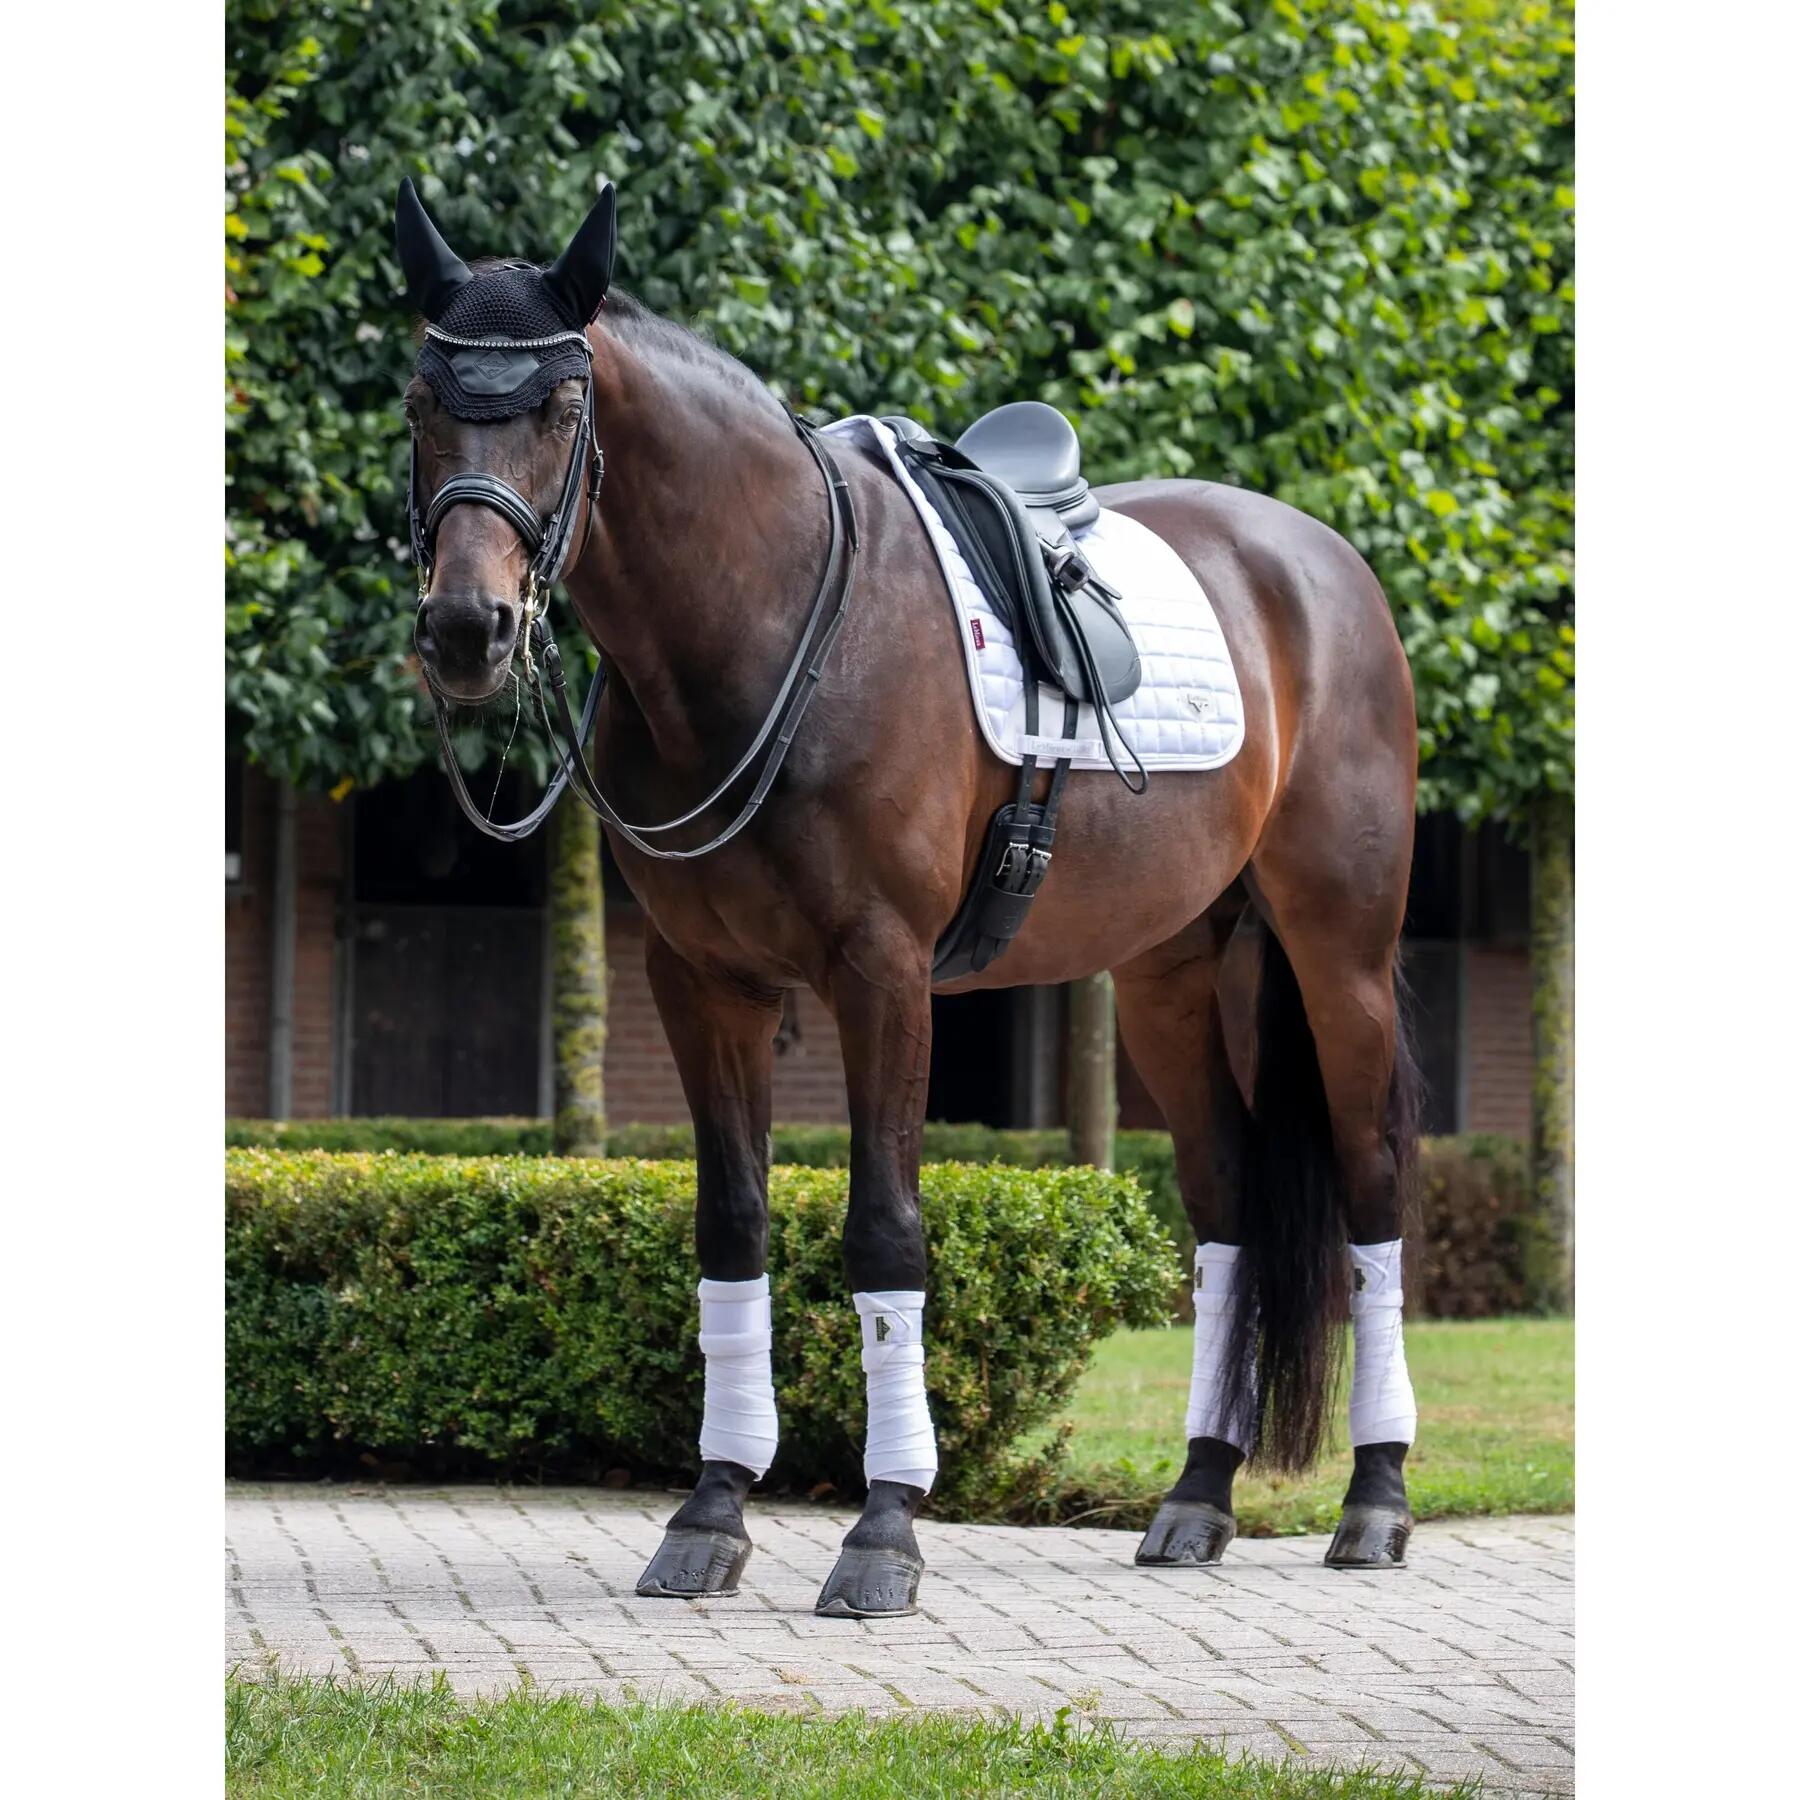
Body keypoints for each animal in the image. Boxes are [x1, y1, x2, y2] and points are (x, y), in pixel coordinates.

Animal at [395, 178, 1424, 1619]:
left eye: (558, 404)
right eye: (423, 401)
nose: (466, 631)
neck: (768, 622)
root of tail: (1323, 565)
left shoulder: (880, 974)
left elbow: (885, 1234)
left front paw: (883, 1528)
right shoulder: (700, 983)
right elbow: (731, 1226)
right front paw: (712, 1510)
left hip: (1339, 951)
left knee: (1375, 1179)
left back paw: (1375, 1498)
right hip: (1169, 972)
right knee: (1223, 1198)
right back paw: (1197, 1496)